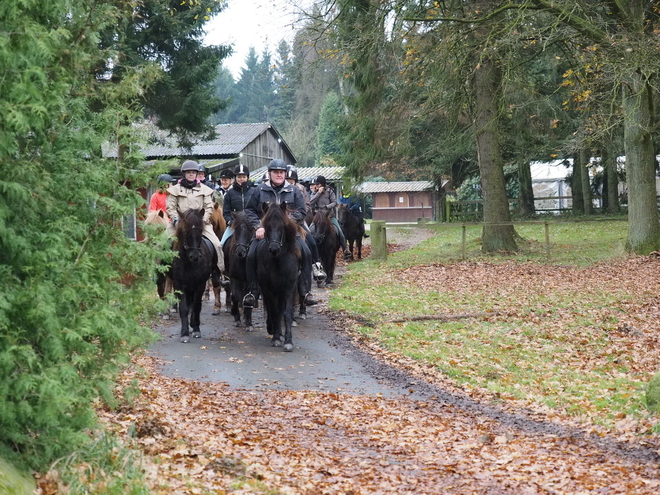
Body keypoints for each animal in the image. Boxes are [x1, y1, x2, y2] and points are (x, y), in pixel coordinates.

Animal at [170, 207, 214, 342]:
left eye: (200, 230)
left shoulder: (200, 285)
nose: (195, 256)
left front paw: (196, 329)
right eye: (185, 230)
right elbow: (184, 308)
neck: (189, 263)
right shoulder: (180, 285)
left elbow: (197, 306)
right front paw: (184, 333)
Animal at [256, 202, 300, 352]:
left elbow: (286, 313)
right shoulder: (268, 290)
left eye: (282, 226)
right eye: (266, 226)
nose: (274, 249)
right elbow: (274, 312)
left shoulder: (289, 288)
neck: (278, 261)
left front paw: (288, 341)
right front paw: (275, 338)